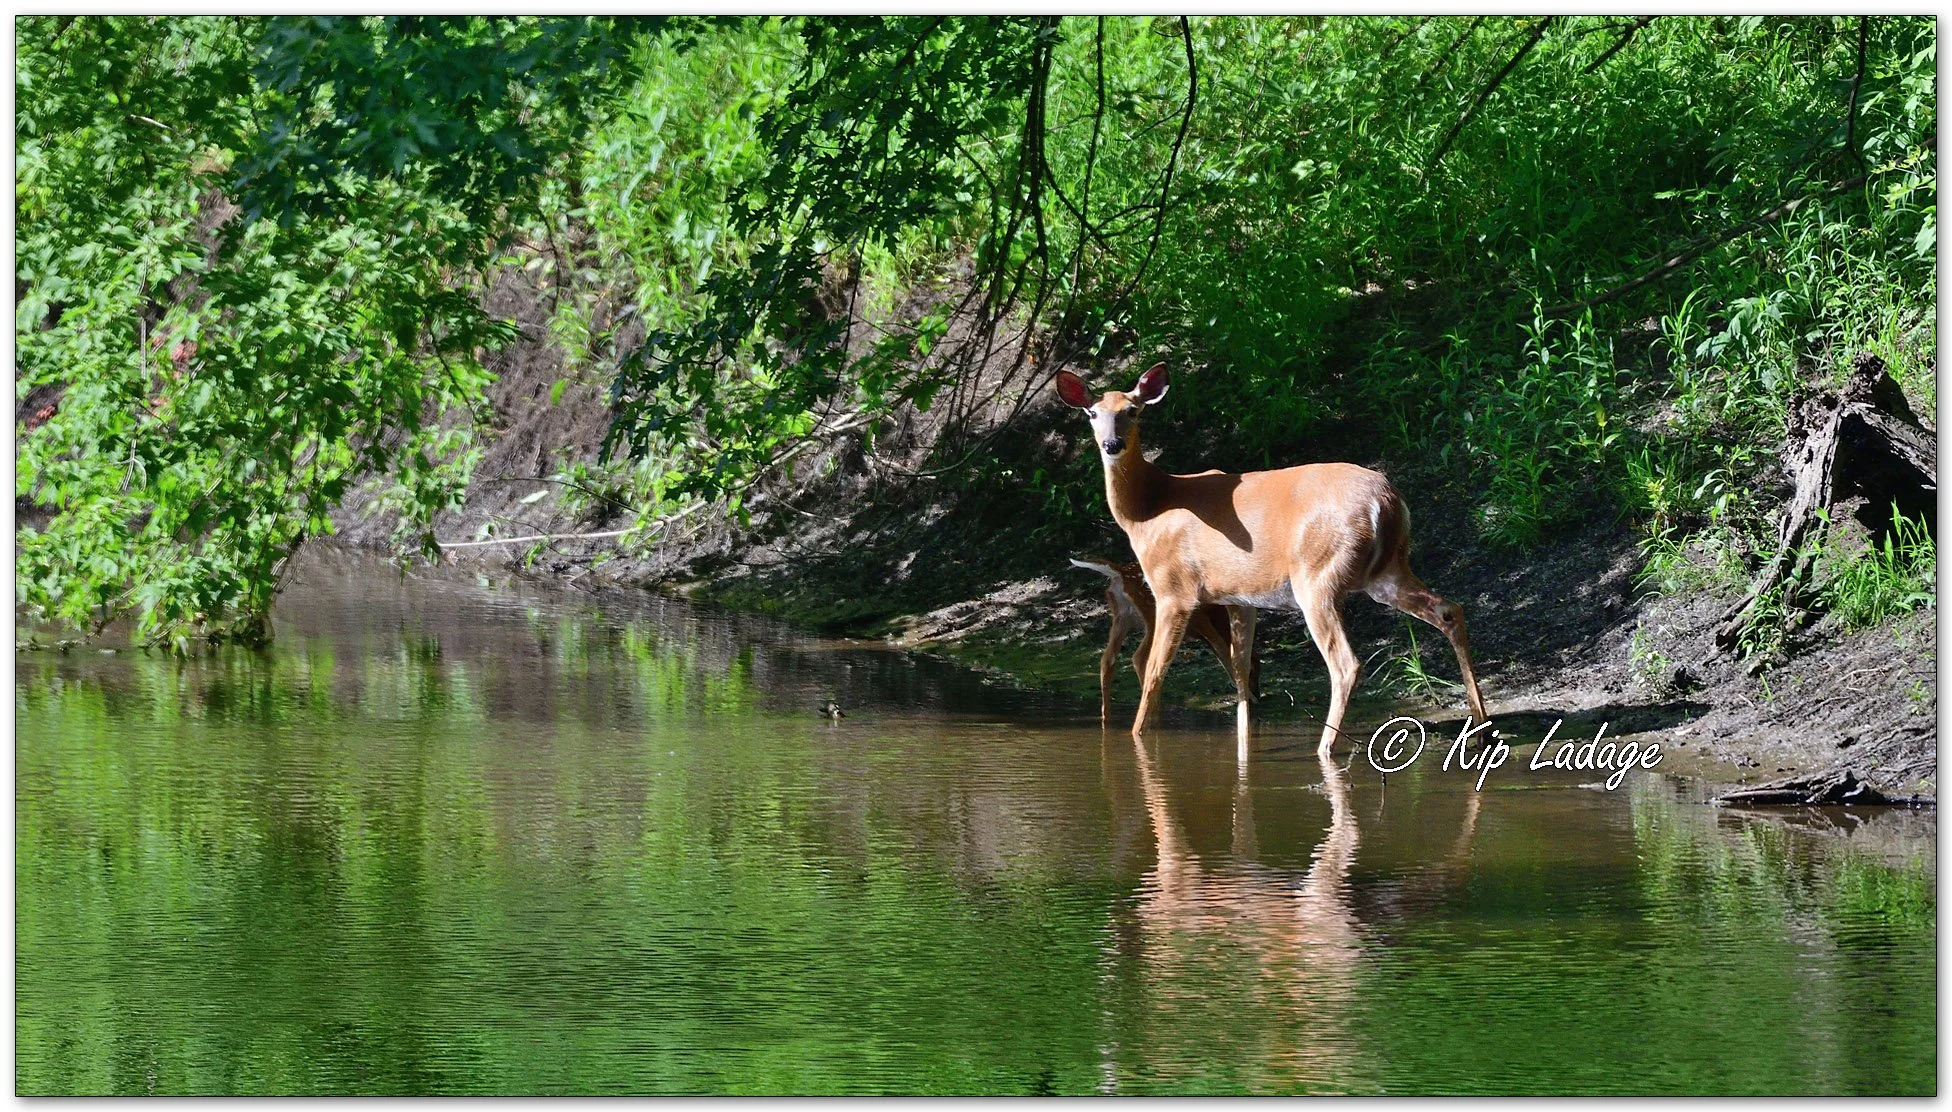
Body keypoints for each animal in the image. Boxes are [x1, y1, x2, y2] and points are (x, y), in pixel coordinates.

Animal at [1069, 557, 1260, 725]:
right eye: (1253, 670)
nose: (1258, 695)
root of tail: (1121, 574)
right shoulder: (1201, 620)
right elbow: (1223, 650)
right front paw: (1248, 696)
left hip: (1122, 617)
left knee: (1107, 659)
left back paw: (1107, 717)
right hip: (1153, 616)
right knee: (1139, 658)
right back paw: (1154, 712)